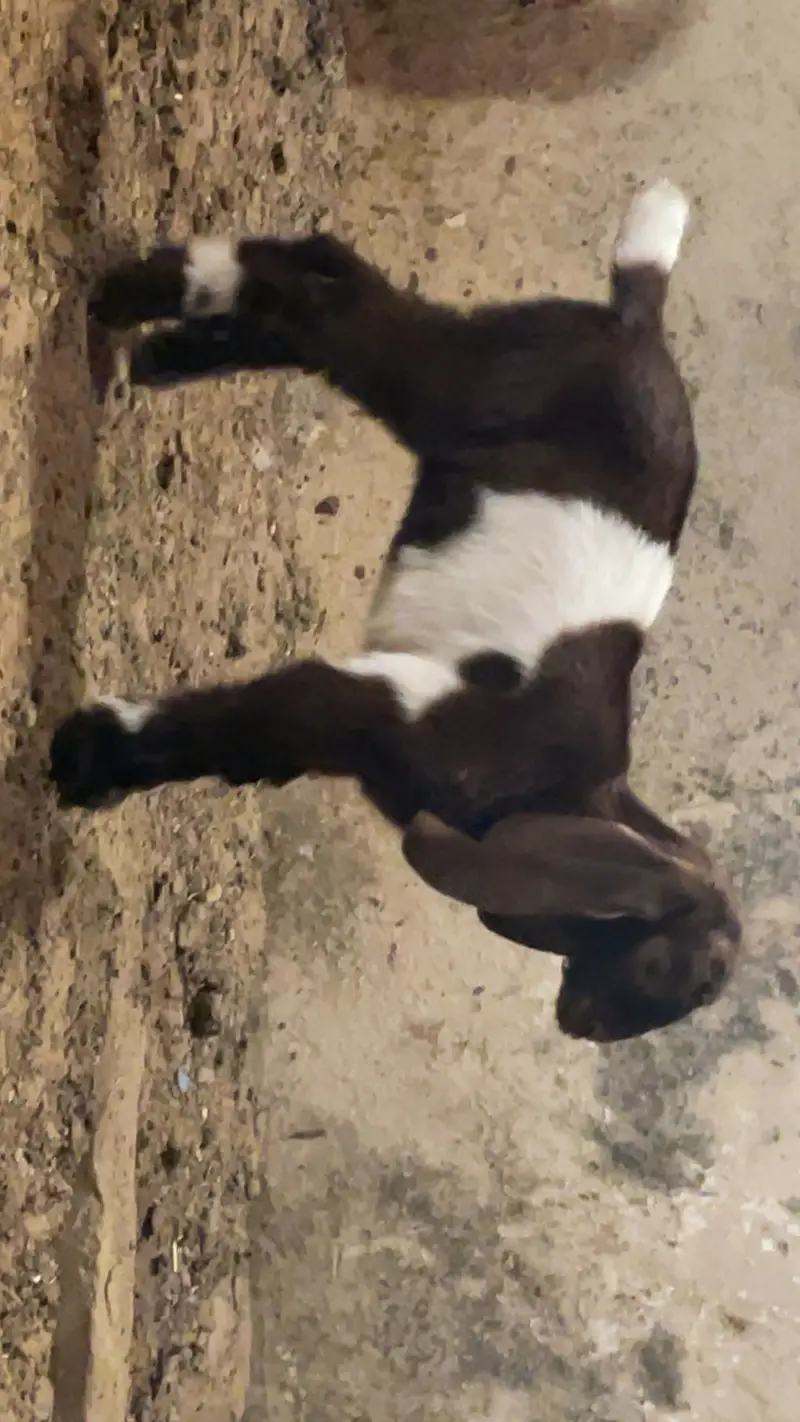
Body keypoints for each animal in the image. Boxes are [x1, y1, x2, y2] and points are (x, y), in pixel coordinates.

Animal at [49, 179, 742, 1043]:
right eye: (658, 969)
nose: (578, 1023)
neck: (561, 792)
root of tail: (637, 321)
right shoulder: (385, 706)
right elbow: (259, 720)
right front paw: (86, 758)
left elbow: (252, 748)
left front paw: (98, 767)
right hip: (467, 381)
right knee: (327, 306)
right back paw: (140, 294)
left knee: (328, 277)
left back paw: (170, 350)